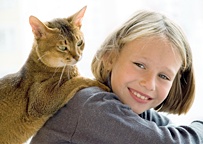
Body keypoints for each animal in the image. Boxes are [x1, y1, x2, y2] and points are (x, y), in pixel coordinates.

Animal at [0, 5, 109, 144]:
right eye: (63, 48)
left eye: (79, 43)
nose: (77, 56)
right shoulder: (39, 101)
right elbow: (74, 81)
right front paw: (98, 83)